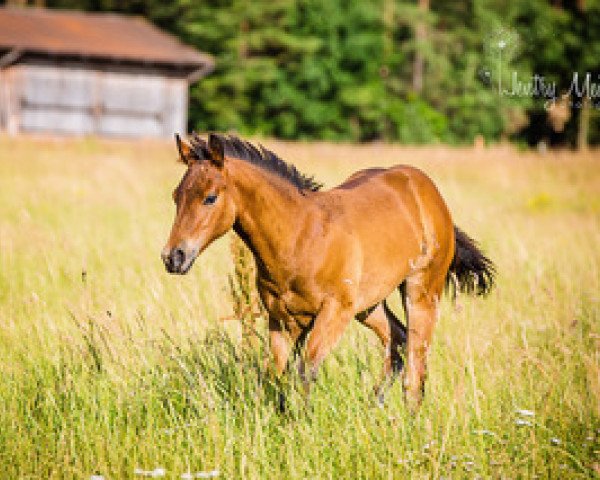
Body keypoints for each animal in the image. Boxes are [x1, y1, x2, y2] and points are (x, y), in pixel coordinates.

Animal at [159, 133, 492, 410]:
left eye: (210, 197)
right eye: (176, 196)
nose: (173, 257)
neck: (299, 236)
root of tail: (428, 190)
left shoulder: (332, 312)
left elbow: (306, 372)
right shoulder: (282, 321)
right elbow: (276, 376)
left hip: (420, 291)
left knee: (415, 364)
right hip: (368, 305)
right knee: (396, 342)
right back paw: (374, 409)